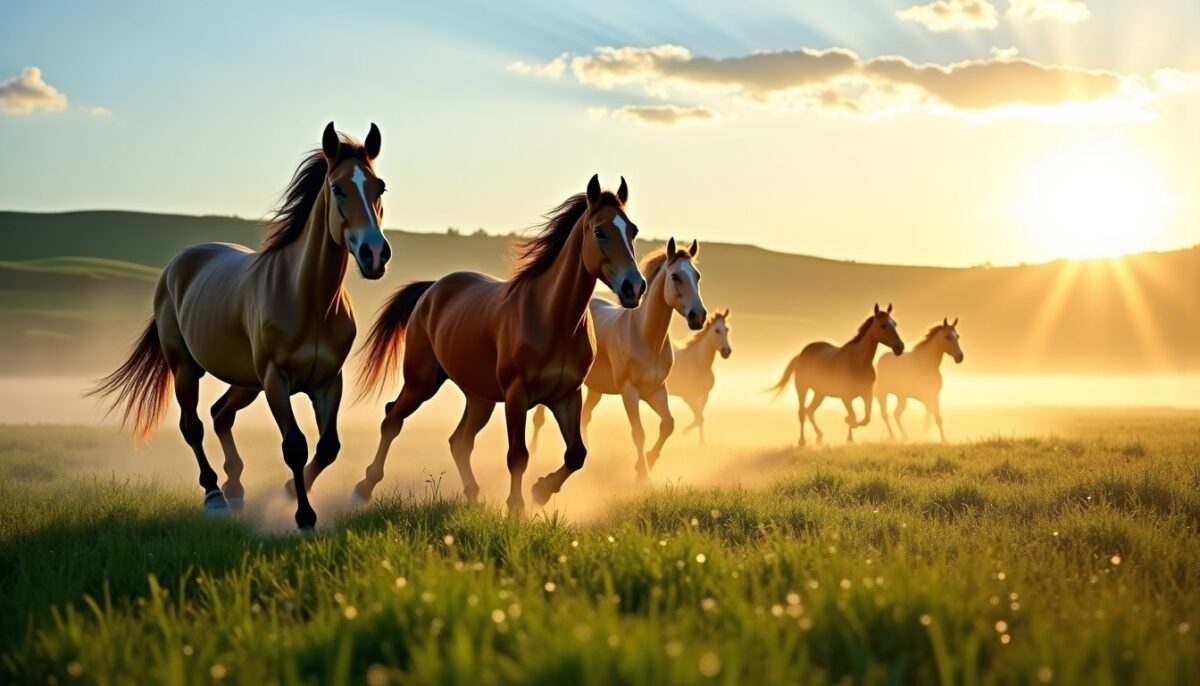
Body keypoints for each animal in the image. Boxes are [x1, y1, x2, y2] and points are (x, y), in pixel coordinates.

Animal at [89, 123, 391, 530]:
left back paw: (235, 489)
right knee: (194, 425)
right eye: (337, 188)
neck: (307, 298)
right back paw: (215, 495)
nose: (374, 253)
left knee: (221, 414)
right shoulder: (276, 380)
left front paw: (288, 492)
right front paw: (304, 515)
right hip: (187, 368)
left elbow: (328, 447)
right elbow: (295, 446)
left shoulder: (328, 381)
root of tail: (178, 265)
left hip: (246, 382)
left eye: (380, 187)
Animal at [354, 175, 645, 513]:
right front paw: (516, 507)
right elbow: (518, 455)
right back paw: (362, 488)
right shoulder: (517, 395)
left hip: (480, 398)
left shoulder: (567, 395)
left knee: (459, 441)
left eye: (632, 230)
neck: (553, 319)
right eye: (599, 231)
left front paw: (541, 490)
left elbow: (576, 454)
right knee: (392, 419)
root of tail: (432, 289)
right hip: (421, 382)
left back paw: (472, 494)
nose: (634, 287)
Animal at [530, 239, 706, 479]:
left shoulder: (656, 390)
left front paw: (649, 460)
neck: (645, 337)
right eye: (675, 276)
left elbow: (668, 424)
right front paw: (643, 474)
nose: (699, 316)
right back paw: (534, 454)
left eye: (696, 276)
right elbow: (638, 432)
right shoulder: (629, 391)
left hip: (594, 388)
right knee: (539, 419)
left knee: (585, 416)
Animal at [665, 308, 732, 445]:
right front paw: (685, 431)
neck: (699, 363)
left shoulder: (704, 395)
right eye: (717, 330)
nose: (726, 352)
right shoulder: (688, 397)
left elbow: (700, 418)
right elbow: (699, 418)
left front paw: (702, 443)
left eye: (727, 329)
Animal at [769, 304, 905, 446]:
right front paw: (848, 428)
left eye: (895, 324)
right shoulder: (846, 397)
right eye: (882, 325)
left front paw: (850, 437)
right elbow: (853, 416)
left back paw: (819, 436)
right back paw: (802, 441)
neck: (858, 362)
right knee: (802, 412)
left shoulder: (867, 394)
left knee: (810, 411)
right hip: (802, 388)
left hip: (820, 393)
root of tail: (800, 355)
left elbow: (866, 418)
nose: (900, 347)